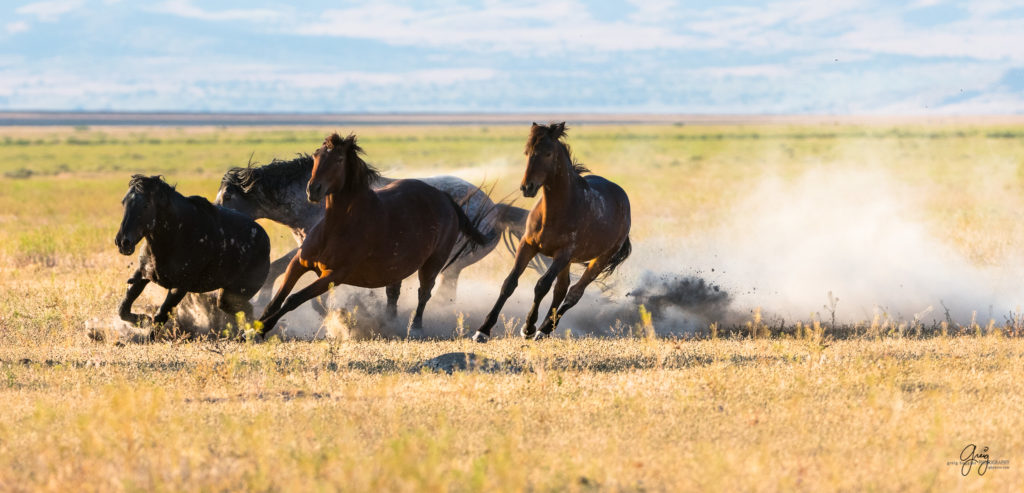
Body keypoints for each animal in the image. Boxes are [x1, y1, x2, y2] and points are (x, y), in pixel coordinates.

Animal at [115, 173, 272, 334]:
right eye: (124, 202)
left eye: (146, 205)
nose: (123, 242)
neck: (176, 235)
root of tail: (266, 242)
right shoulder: (142, 275)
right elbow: (123, 308)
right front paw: (142, 320)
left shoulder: (179, 288)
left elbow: (160, 316)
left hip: (233, 296)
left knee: (246, 311)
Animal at [260, 132, 491, 336]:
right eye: (317, 155)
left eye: (339, 159)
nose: (312, 190)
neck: (336, 227)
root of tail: (444, 198)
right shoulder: (299, 262)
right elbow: (277, 299)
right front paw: (256, 326)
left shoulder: (333, 275)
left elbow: (293, 299)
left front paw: (263, 328)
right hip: (398, 267)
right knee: (393, 294)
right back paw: (388, 323)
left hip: (433, 262)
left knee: (424, 293)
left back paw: (414, 329)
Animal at [471, 121, 630, 342]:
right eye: (527, 152)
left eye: (547, 153)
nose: (527, 187)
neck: (555, 211)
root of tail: (622, 197)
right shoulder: (527, 245)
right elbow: (509, 283)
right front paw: (483, 330)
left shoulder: (563, 254)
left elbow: (541, 286)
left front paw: (528, 327)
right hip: (568, 261)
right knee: (561, 289)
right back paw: (544, 327)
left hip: (599, 259)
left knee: (573, 293)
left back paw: (544, 328)